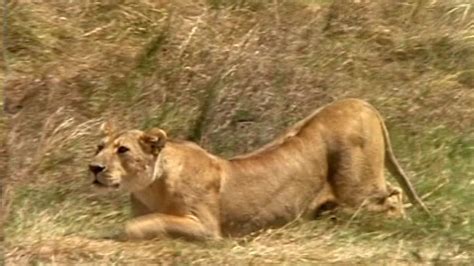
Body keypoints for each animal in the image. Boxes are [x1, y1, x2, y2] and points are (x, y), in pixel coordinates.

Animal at [89, 98, 430, 240]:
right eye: (98, 147)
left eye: (123, 150)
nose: (93, 167)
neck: (149, 187)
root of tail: (360, 102)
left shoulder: (207, 227)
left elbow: (144, 223)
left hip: (357, 189)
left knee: (394, 197)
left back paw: (400, 227)